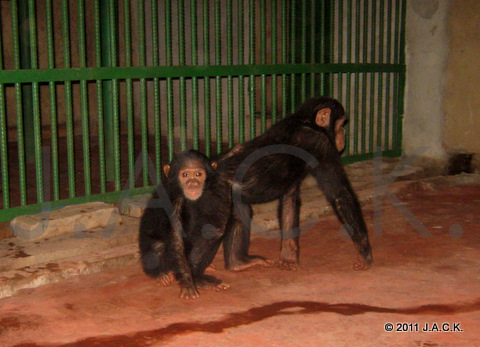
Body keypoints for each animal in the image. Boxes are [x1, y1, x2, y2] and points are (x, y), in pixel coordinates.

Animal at [139, 150, 231, 300]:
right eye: (185, 175)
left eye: (198, 174)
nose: (192, 183)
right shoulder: (170, 198)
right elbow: (176, 239)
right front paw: (188, 282)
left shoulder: (220, 189)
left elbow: (214, 229)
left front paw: (198, 278)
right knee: (158, 246)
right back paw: (162, 275)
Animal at [218, 96, 376, 274]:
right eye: (341, 124)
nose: (344, 133)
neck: (308, 122)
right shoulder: (321, 144)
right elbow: (340, 194)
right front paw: (365, 253)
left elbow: (289, 201)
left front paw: (288, 258)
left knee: (240, 211)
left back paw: (238, 262)